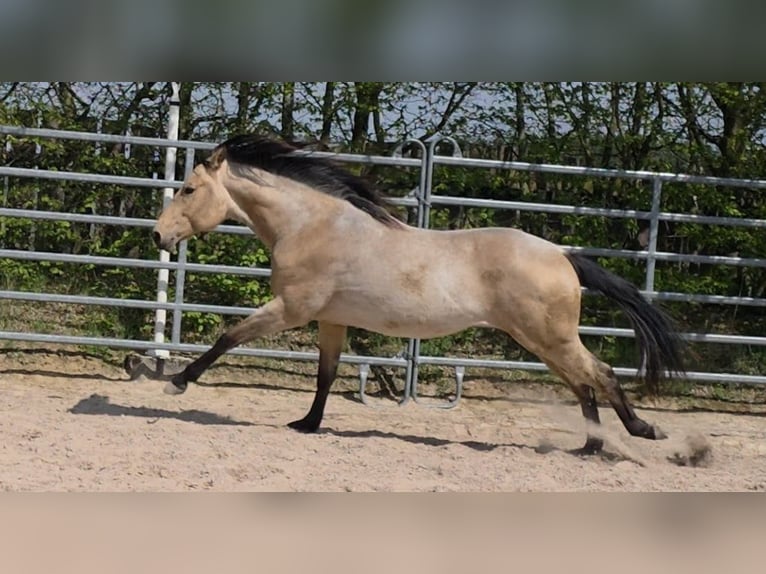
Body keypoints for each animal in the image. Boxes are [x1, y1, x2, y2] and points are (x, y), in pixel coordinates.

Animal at [152, 134, 685, 454]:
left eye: (189, 189)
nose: (159, 236)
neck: (312, 227)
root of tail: (562, 254)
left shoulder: (291, 310)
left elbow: (228, 337)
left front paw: (177, 381)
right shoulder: (331, 318)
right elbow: (326, 374)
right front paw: (307, 424)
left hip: (546, 336)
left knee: (599, 373)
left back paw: (640, 432)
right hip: (542, 340)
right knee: (582, 381)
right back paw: (590, 446)